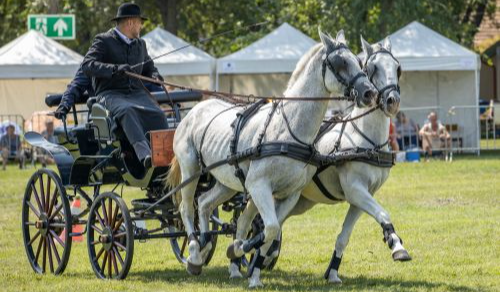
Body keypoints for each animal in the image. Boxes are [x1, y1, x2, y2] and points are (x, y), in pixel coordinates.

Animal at [166, 30, 376, 288]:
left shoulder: (289, 195)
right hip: (191, 170)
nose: (369, 93)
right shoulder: (259, 186)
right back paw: (195, 253)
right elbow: (272, 228)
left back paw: (207, 243)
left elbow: (268, 233)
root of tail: (194, 110)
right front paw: (238, 251)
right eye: (341, 63)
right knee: (186, 208)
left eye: (359, 62)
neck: (289, 130)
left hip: (227, 181)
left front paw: (250, 268)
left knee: (204, 203)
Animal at [230, 36, 410, 286]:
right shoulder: (355, 189)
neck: (366, 140)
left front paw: (333, 273)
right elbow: (383, 214)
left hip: (298, 201)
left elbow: (344, 236)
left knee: (263, 224)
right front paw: (397, 247)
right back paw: (241, 261)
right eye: (372, 68)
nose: (392, 101)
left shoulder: (362, 197)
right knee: (252, 223)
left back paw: (253, 259)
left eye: (398, 68)